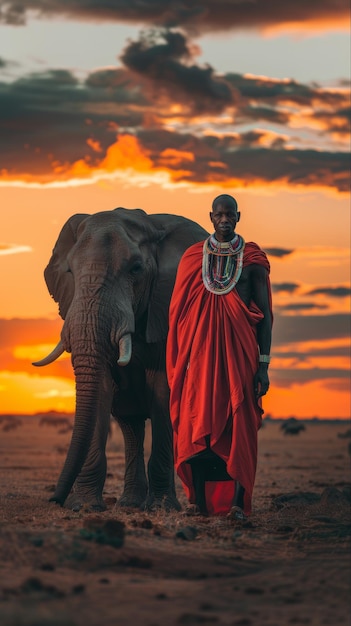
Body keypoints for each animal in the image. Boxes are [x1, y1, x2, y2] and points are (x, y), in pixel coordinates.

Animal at [33, 207, 209, 510]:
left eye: (135, 269)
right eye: (70, 271)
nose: (55, 499)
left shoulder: (167, 305)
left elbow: (163, 389)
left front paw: (162, 507)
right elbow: (101, 386)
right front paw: (85, 505)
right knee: (131, 422)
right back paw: (129, 503)